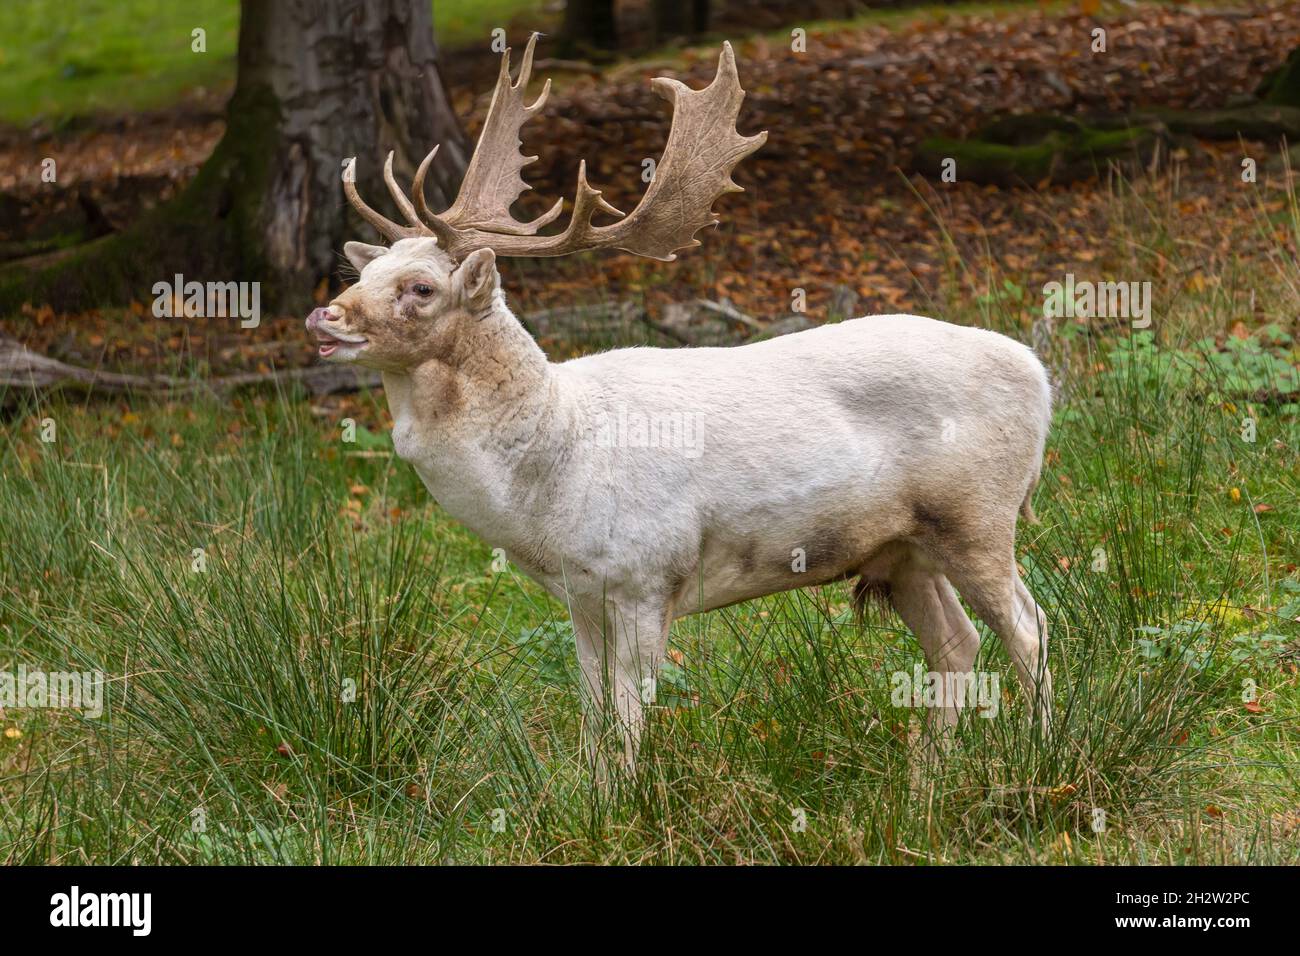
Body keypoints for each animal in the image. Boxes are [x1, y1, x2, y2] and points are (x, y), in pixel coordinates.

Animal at [305, 35, 1054, 776]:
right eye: (363, 272)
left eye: (421, 287)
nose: (323, 317)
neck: (551, 479)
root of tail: (1039, 377)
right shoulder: (580, 596)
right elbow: (592, 716)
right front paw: (591, 795)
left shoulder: (646, 573)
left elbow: (629, 718)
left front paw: (629, 799)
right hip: (902, 549)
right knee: (957, 640)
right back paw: (928, 775)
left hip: (977, 514)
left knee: (1030, 626)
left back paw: (1045, 756)